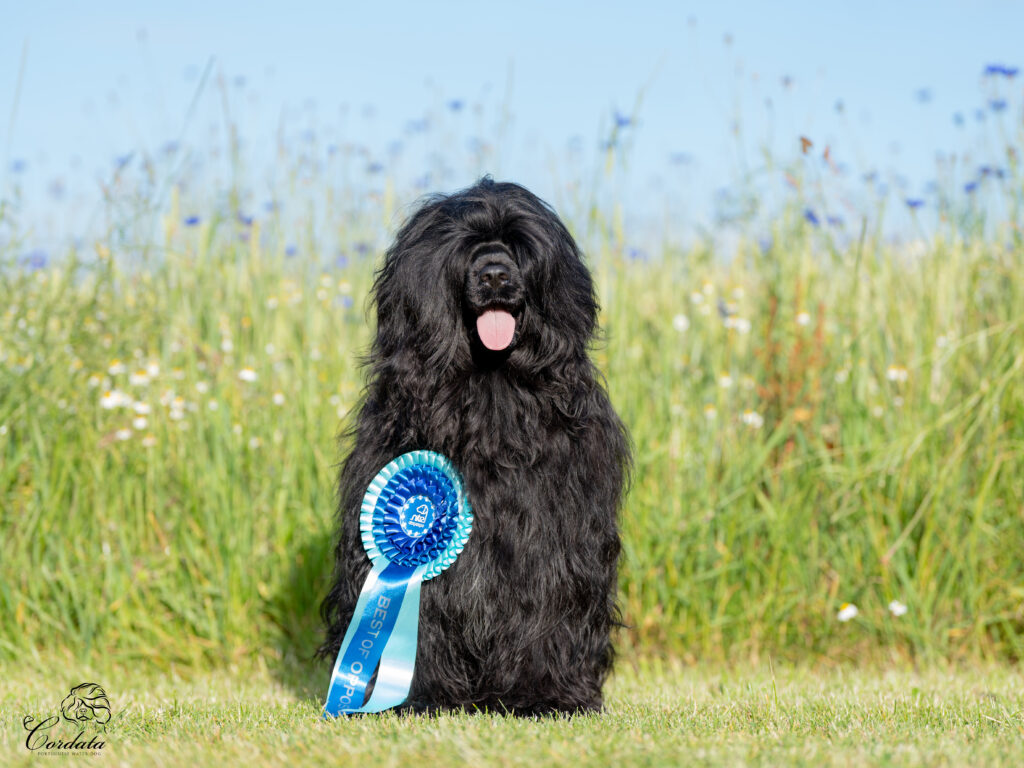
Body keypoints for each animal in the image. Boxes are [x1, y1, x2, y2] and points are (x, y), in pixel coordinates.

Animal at [318, 178, 630, 715]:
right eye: (464, 246)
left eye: (519, 245)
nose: (496, 275)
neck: (491, 387)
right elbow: (428, 614)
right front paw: (421, 693)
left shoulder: (554, 534)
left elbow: (548, 602)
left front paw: (545, 694)